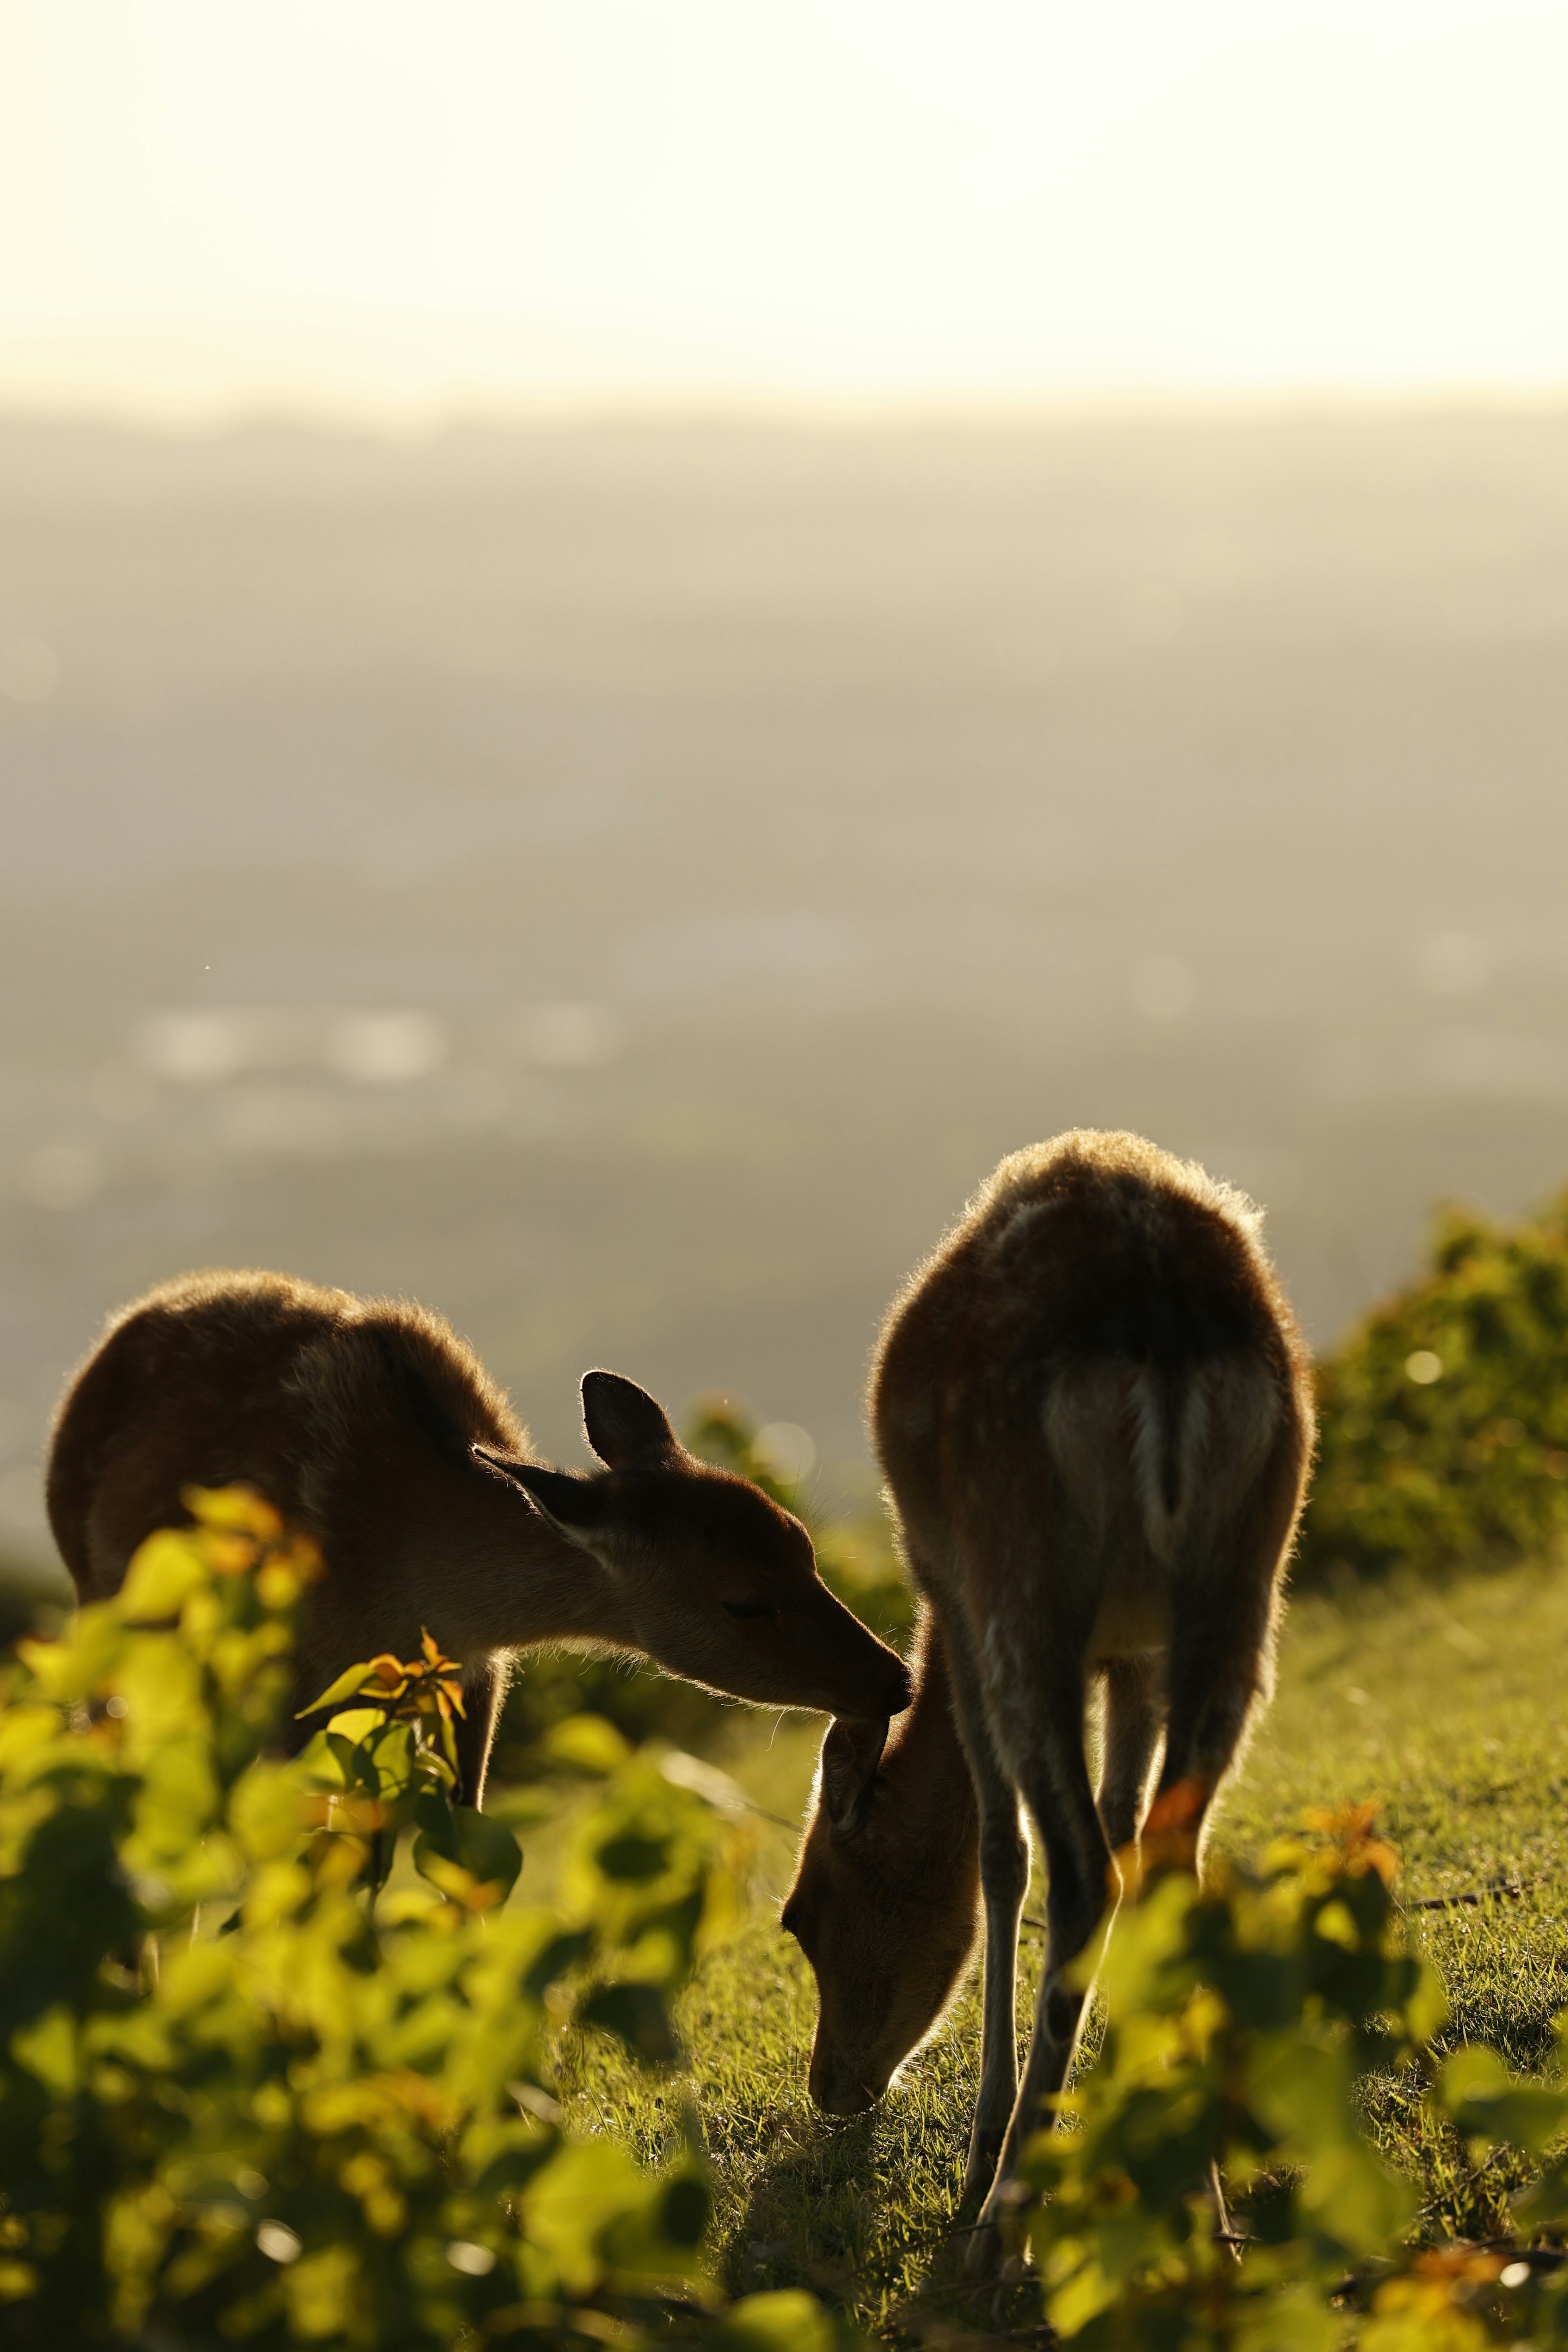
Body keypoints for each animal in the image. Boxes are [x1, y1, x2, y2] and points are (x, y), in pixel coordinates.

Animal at [49, 1270, 912, 1797]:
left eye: (804, 1543)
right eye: (742, 1601)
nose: (897, 1680)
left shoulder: (476, 1674)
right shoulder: (301, 1686)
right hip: (109, 1632)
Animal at [780, 1129, 1316, 2267]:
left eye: (804, 1914)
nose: (832, 2086)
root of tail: (1162, 1333)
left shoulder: (952, 1591)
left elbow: (999, 1849)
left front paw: (988, 2148)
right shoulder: (1135, 1654)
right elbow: (1123, 1818)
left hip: (1019, 1579)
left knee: (1076, 1871)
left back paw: (1003, 2219)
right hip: (1243, 1583)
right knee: (1165, 1854)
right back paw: (1204, 2204)